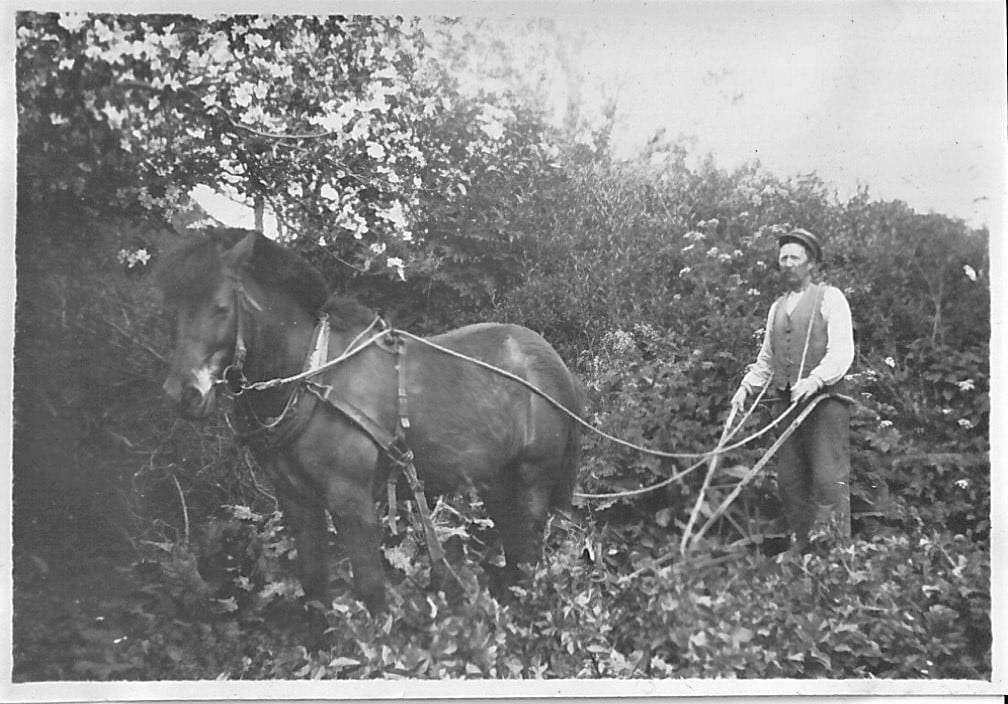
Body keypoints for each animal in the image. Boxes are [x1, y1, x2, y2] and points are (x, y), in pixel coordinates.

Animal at [155, 227, 584, 613]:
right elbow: (315, 588)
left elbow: (371, 591)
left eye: (221, 307)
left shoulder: (352, 501)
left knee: (528, 559)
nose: (183, 394)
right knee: (514, 557)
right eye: (170, 310)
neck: (312, 374)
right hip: (497, 482)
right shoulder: (297, 501)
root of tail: (554, 363)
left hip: (532, 479)